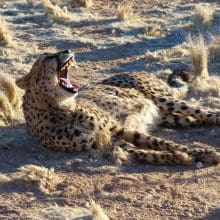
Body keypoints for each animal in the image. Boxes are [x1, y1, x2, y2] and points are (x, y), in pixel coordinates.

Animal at [15, 49, 220, 166]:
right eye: (48, 56)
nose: (67, 49)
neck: (59, 109)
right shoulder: (107, 140)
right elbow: (144, 152)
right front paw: (178, 158)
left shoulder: (116, 128)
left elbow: (163, 143)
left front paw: (204, 153)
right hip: (170, 117)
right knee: (189, 119)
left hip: (161, 98)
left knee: (205, 112)